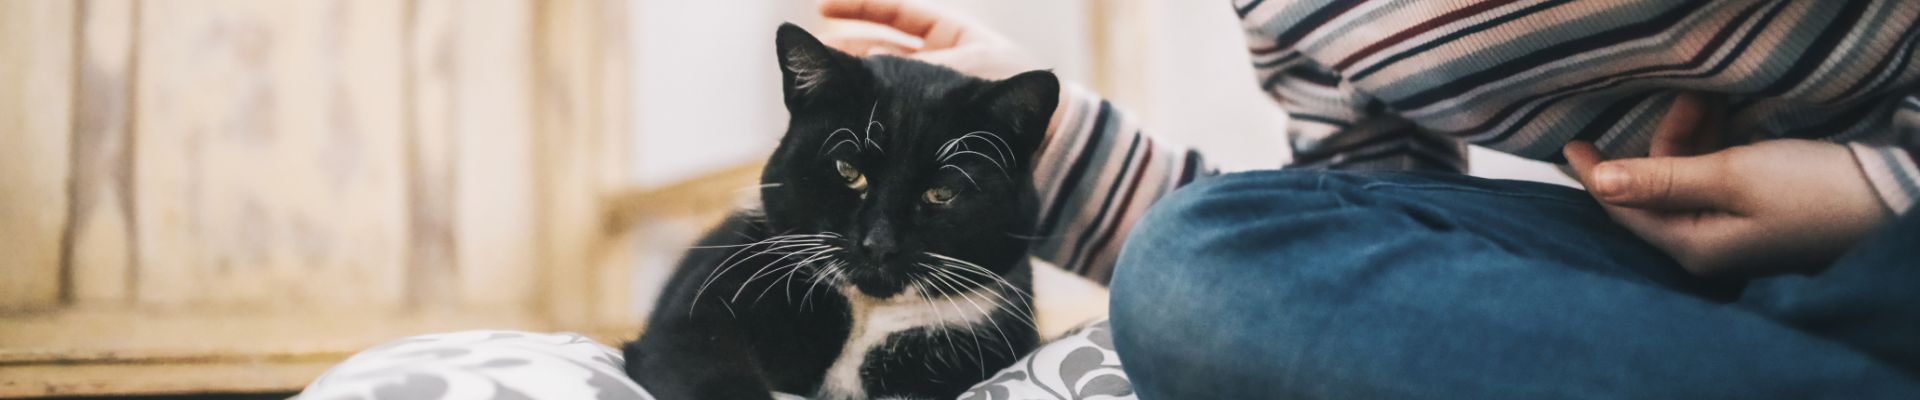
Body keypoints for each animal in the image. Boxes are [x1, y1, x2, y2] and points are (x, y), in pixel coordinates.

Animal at [625, 23, 1052, 398]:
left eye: (941, 192)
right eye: (848, 171)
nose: (879, 243)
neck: (870, 315)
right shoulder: (695, 324)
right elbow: (711, 371)